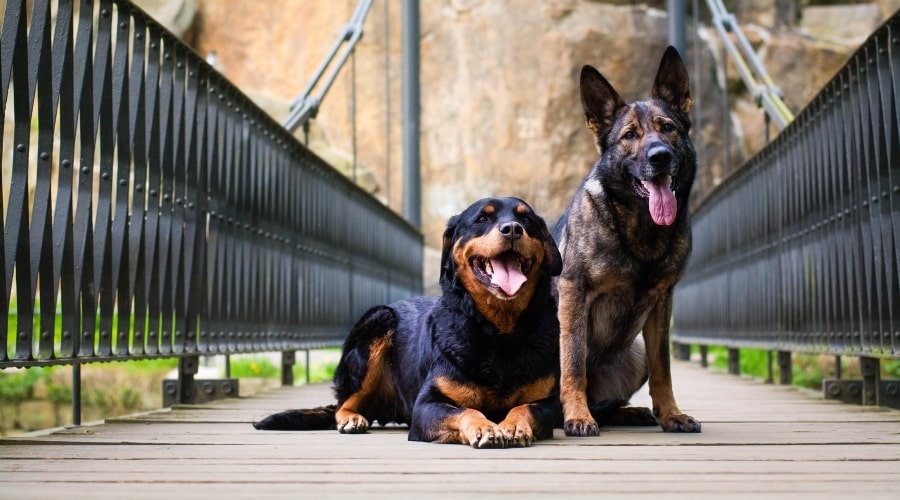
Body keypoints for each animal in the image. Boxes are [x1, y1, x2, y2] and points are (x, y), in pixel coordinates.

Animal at [255, 196, 564, 450]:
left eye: (527, 220)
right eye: (482, 219)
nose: (512, 229)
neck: (500, 331)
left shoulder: (548, 403)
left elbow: (526, 408)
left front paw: (512, 425)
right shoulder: (427, 406)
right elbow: (466, 411)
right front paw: (484, 427)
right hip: (377, 321)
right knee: (344, 403)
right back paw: (352, 419)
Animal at [556, 47, 704, 438]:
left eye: (667, 128)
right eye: (630, 135)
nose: (659, 156)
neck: (640, 228)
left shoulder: (662, 302)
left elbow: (663, 368)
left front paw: (671, 415)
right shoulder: (574, 293)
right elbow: (572, 363)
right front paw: (577, 416)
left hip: (634, 354)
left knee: (610, 402)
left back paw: (631, 413)